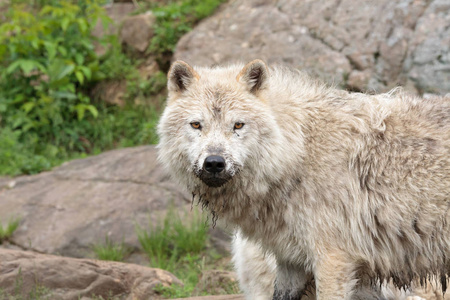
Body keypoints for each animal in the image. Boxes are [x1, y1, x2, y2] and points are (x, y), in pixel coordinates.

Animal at [158, 59, 450, 300]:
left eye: (238, 125)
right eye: (196, 125)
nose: (215, 163)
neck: (298, 150)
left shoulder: (333, 260)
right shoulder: (291, 263)